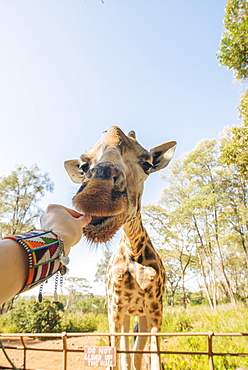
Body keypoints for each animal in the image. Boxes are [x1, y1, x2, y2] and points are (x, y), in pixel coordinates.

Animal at [64, 125, 176, 368]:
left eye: (147, 164)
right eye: (84, 166)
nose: (97, 194)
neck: (133, 252)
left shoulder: (155, 307)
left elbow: (153, 357)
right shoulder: (115, 306)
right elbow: (117, 356)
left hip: (140, 315)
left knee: (137, 353)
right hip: (125, 314)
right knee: (127, 351)